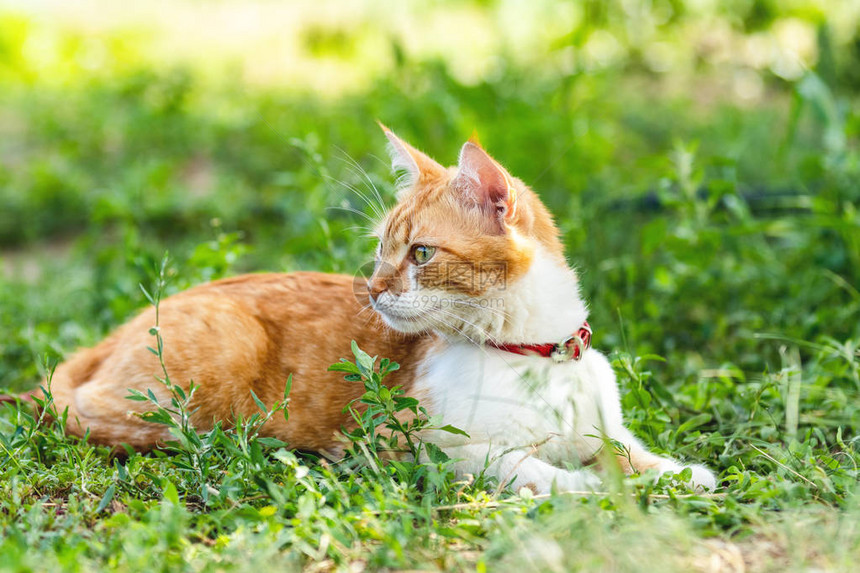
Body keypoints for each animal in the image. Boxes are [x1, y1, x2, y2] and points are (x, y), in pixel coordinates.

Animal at [16, 127, 716, 494]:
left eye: (421, 253)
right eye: (382, 250)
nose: (374, 291)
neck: (535, 356)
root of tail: (114, 335)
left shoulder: (604, 432)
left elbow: (630, 455)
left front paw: (678, 473)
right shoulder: (420, 442)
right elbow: (529, 465)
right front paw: (593, 488)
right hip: (200, 385)